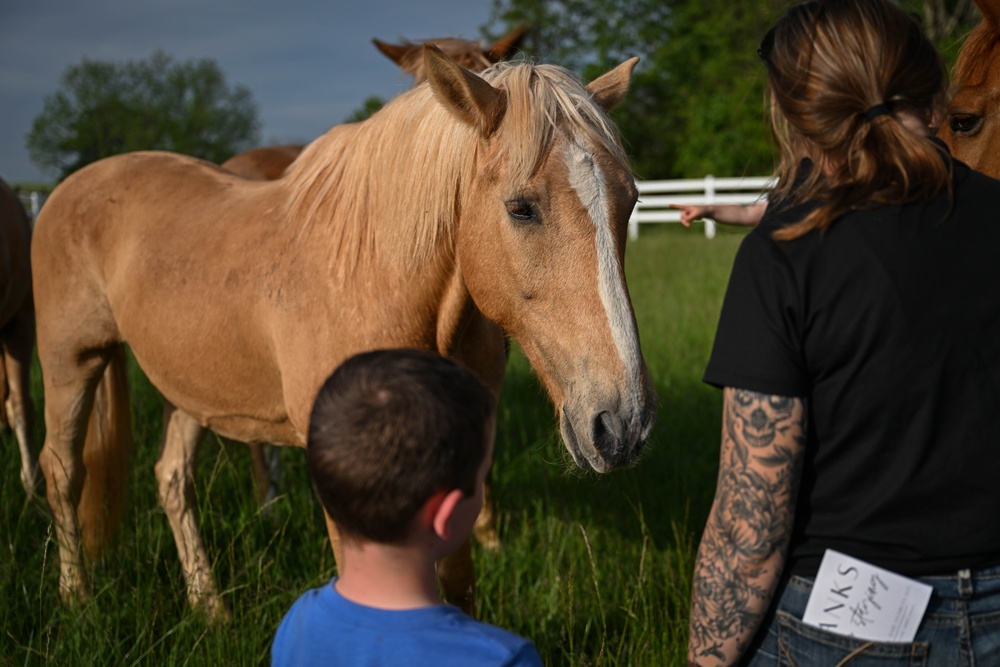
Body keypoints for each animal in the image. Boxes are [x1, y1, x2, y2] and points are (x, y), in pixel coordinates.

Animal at [33, 45, 656, 620]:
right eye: (521, 208)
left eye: (629, 202)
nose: (624, 423)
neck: (369, 278)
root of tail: (71, 187)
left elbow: (457, 584)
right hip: (71, 363)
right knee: (62, 470)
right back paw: (76, 600)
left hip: (187, 387)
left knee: (171, 479)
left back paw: (209, 607)